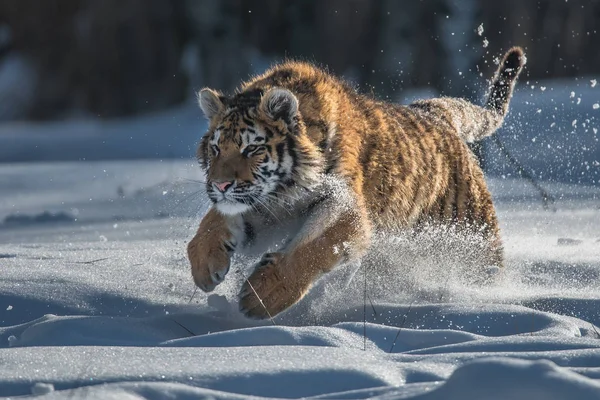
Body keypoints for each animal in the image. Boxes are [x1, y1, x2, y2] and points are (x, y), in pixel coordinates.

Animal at [188, 47, 524, 318]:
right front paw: (205, 266)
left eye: (252, 149)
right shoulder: (261, 205)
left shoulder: (345, 207)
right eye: (216, 148)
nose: (220, 186)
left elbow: (313, 248)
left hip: (474, 239)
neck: (285, 191)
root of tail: (436, 112)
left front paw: (262, 297)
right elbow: (212, 223)